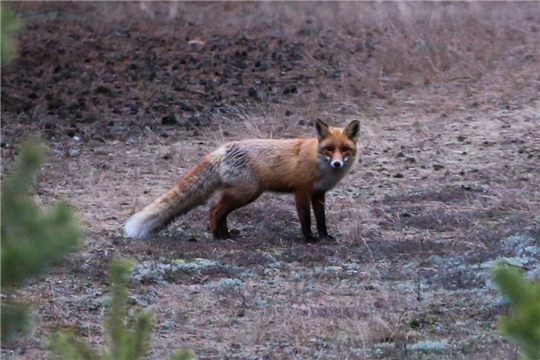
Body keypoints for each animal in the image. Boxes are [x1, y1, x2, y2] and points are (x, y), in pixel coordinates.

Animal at [125, 119, 360, 243]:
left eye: (344, 149)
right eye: (329, 149)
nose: (337, 164)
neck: (318, 164)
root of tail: (223, 148)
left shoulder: (319, 193)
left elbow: (321, 219)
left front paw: (325, 236)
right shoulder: (301, 191)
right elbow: (306, 218)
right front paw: (309, 238)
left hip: (244, 195)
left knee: (220, 212)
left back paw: (226, 234)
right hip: (246, 194)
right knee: (214, 209)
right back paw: (217, 236)